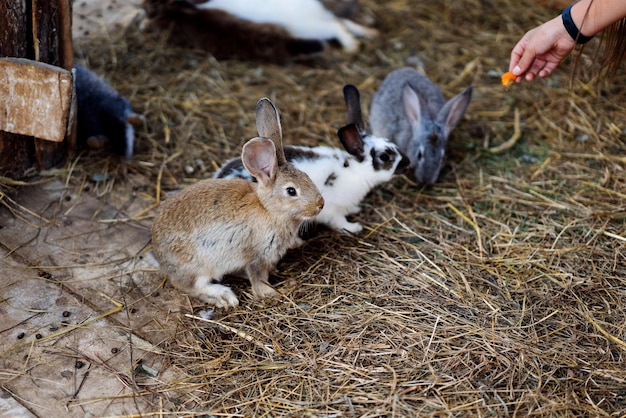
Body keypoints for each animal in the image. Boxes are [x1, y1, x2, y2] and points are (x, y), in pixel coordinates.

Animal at [150, 98, 322, 306]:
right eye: (291, 191)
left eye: (307, 176)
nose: (320, 204)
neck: (268, 209)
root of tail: (159, 255)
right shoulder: (258, 256)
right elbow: (258, 278)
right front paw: (270, 293)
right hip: (198, 265)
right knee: (190, 286)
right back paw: (224, 297)